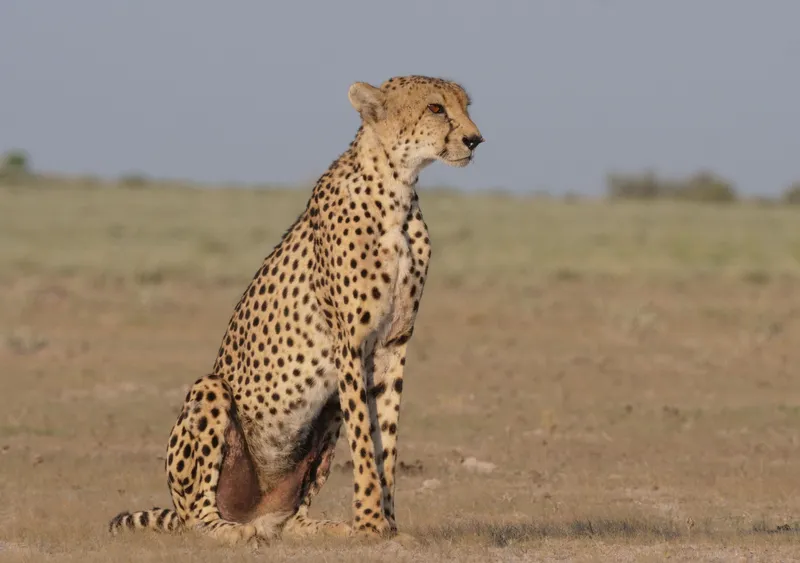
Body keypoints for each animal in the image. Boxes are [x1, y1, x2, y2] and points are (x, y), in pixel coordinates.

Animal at [108, 74, 484, 545]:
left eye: (465, 106)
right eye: (436, 108)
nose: (475, 139)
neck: (397, 190)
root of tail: (254, 513)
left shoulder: (393, 344)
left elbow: (386, 440)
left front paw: (389, 526)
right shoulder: (349, 344)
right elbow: (366, 443)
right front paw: (370, 524)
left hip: (324, 419)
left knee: (288, 517)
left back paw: (322, 526)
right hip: (210, 392)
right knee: (196, 515)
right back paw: (229, 531)